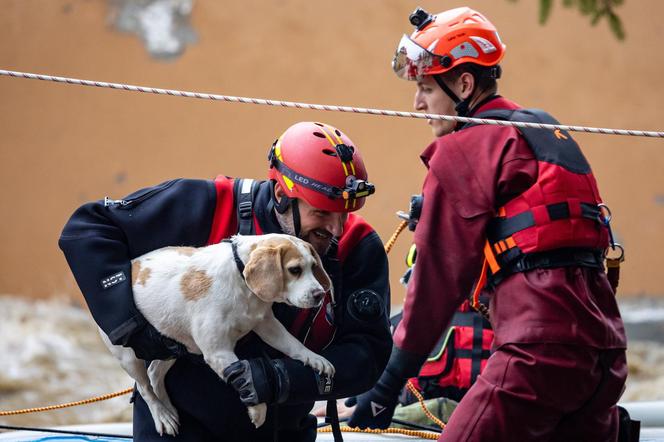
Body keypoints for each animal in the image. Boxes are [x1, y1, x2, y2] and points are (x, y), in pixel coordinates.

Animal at [97, 233, 338, 436]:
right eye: (295, 270)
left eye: (313, 266)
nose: (319, 294)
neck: (241, 281)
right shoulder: (218, 352)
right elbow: (244, 383)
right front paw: (258, 411)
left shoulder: (267, 325)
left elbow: (293, 345)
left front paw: (315, 359)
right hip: (129, 357)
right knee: (145, 387)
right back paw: (161, 414)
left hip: (171, 346)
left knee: (155, 375)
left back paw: (169, 411)